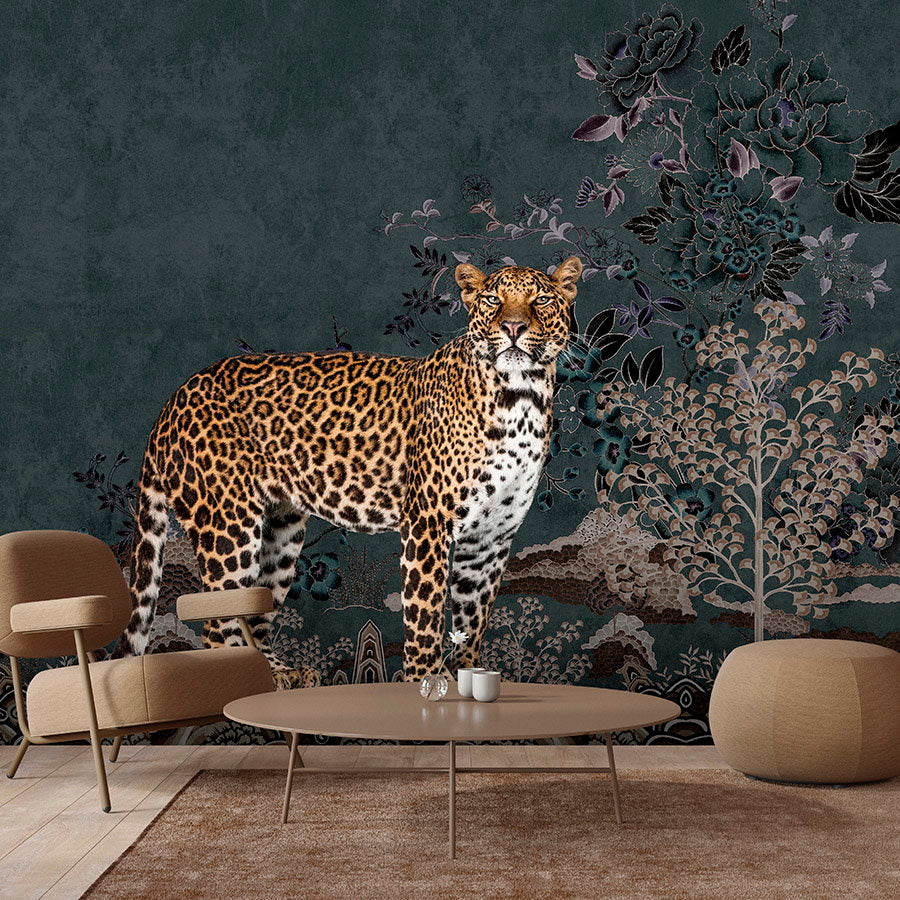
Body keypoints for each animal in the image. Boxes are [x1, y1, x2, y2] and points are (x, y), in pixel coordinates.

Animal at [120, 256, 582, 686]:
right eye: (492, 300)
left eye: (541, 300)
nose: (513, 328)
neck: (521, 396)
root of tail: (173, 398)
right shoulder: (428, 524)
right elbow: (426, 615)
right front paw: (425, 681)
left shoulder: (491, 538)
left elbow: (472, 619)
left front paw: (465, 674)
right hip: (227, 528)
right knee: (219, 625)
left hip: (281, 534)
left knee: (254, 615)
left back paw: (282, 675)